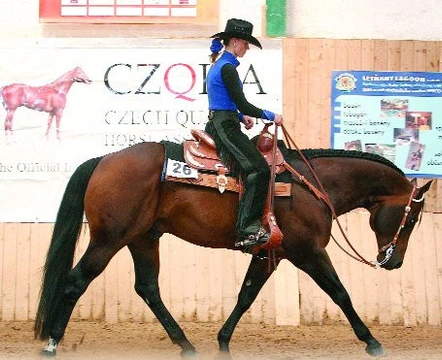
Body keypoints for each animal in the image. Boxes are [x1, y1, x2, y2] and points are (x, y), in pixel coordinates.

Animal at [33, 138, 432, 358]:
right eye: (412, 217)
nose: (393, 261)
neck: (314, 184)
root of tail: (103, 160)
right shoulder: (308, 253)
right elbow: (341, 294)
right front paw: (372, 342)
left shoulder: (271, 255)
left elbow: (246, 295)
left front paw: (223, 342)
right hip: (110, 239)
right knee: (75, 282)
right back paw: (51, 345)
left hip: (143, 239)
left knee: (148, 288)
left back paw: (187, 346)